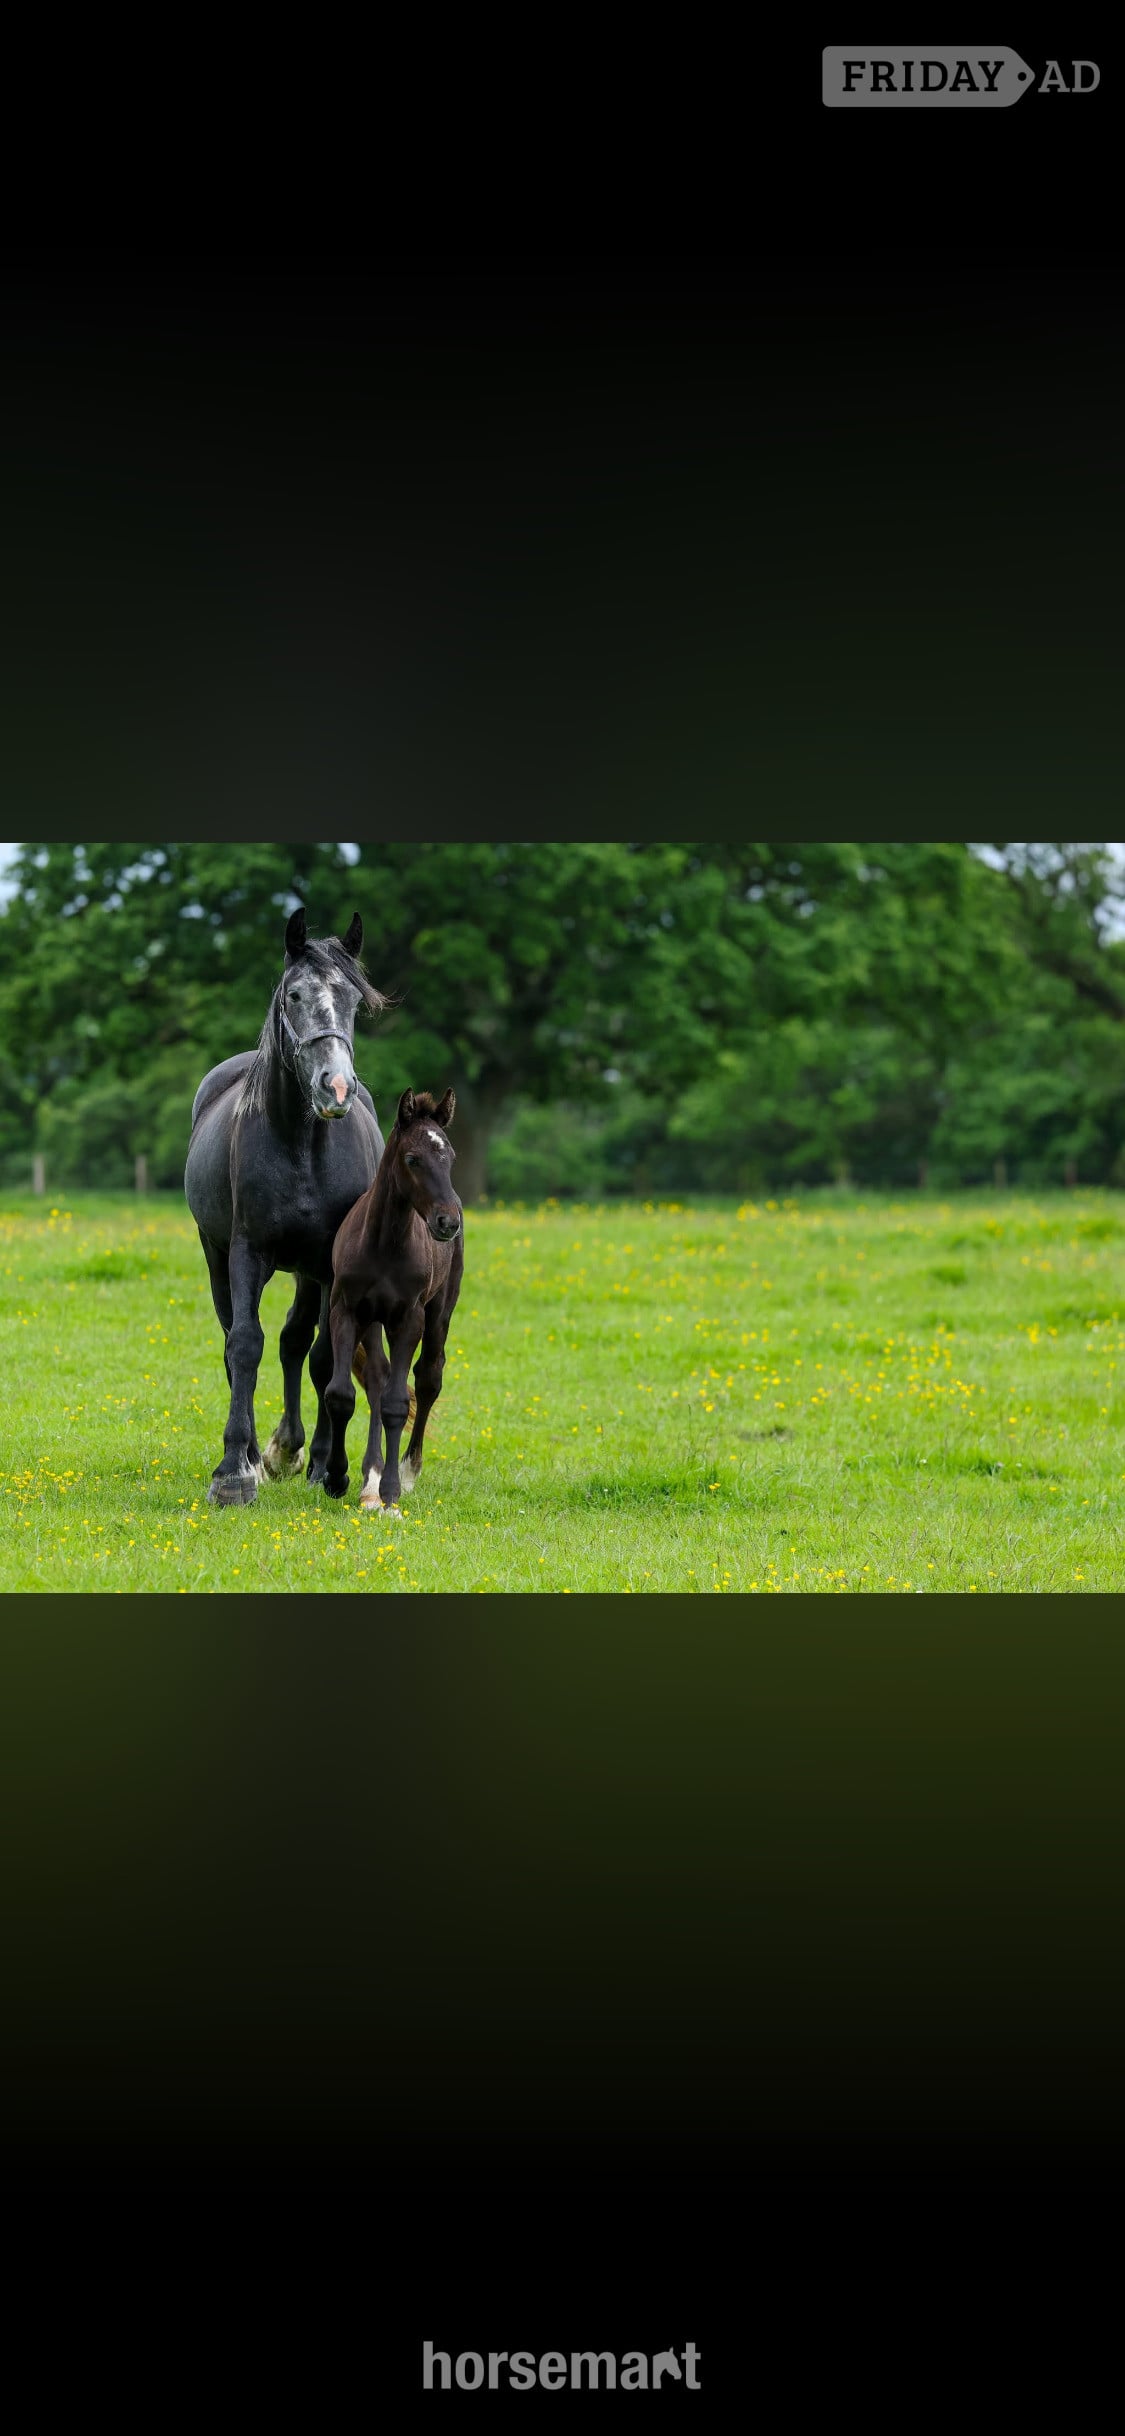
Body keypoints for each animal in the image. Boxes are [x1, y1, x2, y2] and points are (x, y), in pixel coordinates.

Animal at [185, 906, 387, 1506]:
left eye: (352, 999)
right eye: (294, 995)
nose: (335, 1088)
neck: (302, 1148)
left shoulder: (329, 1266)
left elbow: (321, 1356)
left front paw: (326, 1466)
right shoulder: (245, 1253)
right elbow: (244, 1344)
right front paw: (234, 1471)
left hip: (307, 1271)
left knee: (300, 1343)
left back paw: (301, 1452)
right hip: (216, 1255)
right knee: (237, 1339)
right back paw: (261, 1452)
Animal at [324, 1088, 463, 1511]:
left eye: (450, 1156)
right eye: (412, 1158)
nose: (448, 1222)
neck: (385, 1245)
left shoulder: (409, 1318)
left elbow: (398, 1402)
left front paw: (391, 1493)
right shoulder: (346, 1311)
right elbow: (341, 1394)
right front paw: (337, 1476)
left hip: (439, 1312)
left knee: (429, 1377)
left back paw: (406, 1470)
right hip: (372, 1321)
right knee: (376, 1377)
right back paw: (370, 1474)